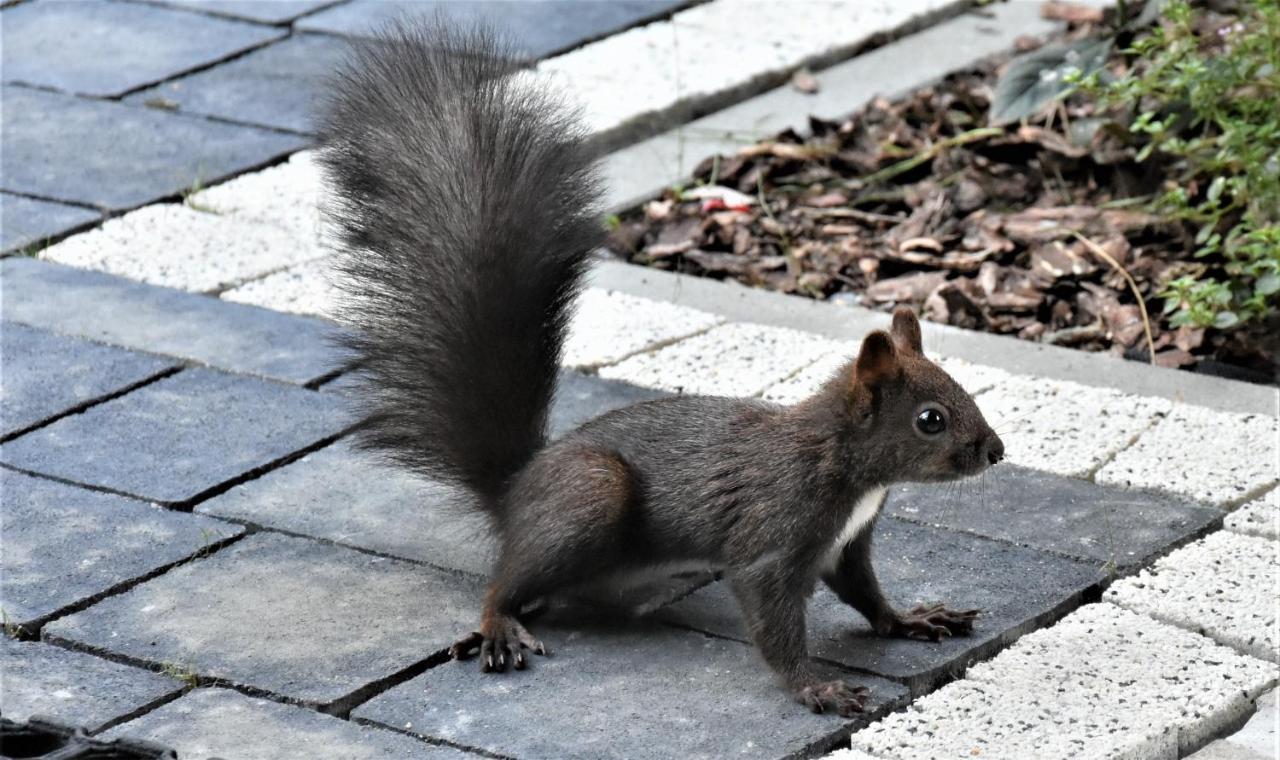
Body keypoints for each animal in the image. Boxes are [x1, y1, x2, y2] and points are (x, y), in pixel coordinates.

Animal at [317, 19, 998, 716]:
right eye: (931, 419)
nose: (996, 451)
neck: (840, 459)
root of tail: (515, 492)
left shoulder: (847, 543)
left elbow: (865, 593)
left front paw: (909, 619)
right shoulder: (775, 531)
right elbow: (772, 615)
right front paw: (817, 686)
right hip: (589, 495)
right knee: (504, 581)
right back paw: (499, 623)